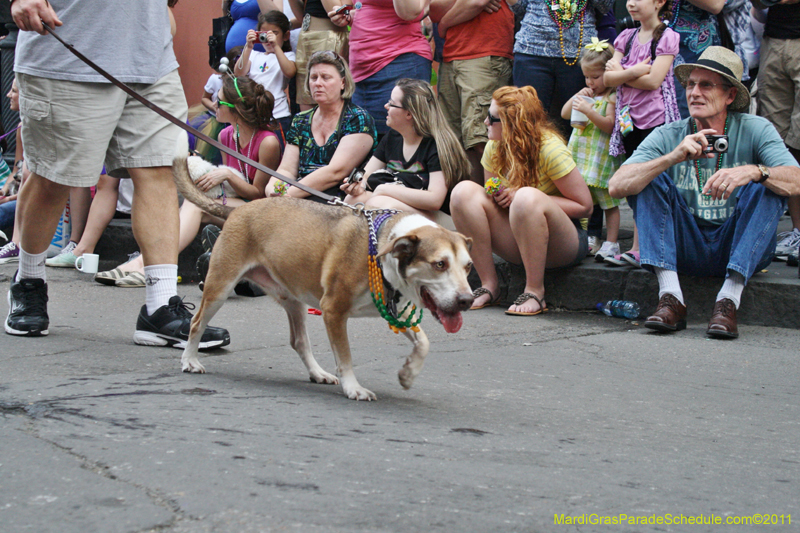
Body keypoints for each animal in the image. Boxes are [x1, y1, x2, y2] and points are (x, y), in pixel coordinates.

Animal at [173, 158, 476, 400]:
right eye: (439, 264)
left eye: (468, 266)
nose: (466, 300)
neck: (383, 245)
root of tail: (236, 210)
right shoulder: (333, 310)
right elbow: (345, 356)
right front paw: (353, 388)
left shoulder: (396, 310)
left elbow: (423, 343)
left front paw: (409, 373)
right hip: (221, 286)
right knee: (197, 322)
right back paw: (189, 360)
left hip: (292, 299)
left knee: (299, 341)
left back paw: (318, 373)